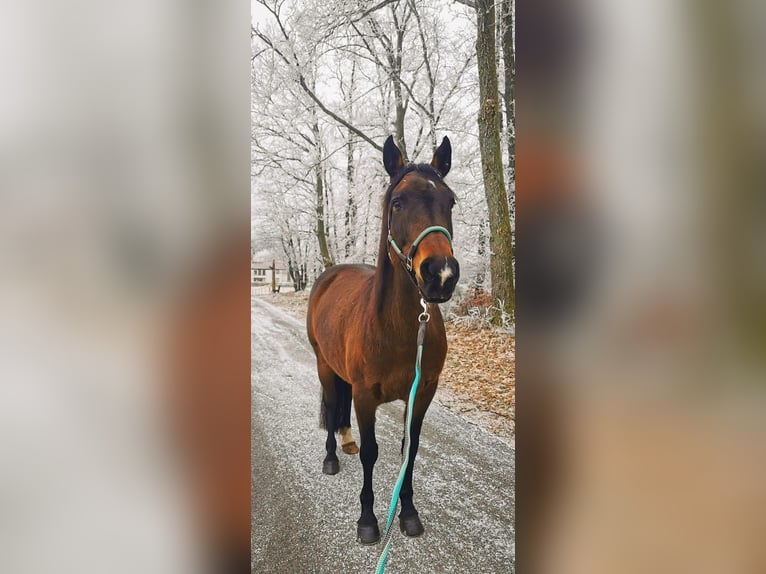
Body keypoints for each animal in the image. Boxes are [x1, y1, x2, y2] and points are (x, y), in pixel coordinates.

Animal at [306, 135, 460, 544]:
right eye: (398, 202)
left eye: (450, 201)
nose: (440, 275)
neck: (397, 330)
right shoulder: (365, 396)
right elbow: (371, 453)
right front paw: (368, 520)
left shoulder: (422, 392)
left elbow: (411, 450)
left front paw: (408, 513)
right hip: (324, 364)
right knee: (333, 401)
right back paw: (332, 455)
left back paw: (346, 438)